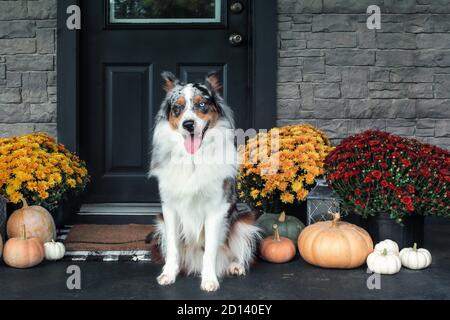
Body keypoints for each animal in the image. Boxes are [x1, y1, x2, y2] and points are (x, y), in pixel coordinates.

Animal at [149, 71, 260, 292]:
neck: (193, 158)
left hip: (244, 221)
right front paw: (168, 274)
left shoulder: (216, 208)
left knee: (238, 252)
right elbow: (173, 247)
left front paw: (209, 279)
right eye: (177, 108)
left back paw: (234, 266)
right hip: (160, 222)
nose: (188, 124)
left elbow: (210, 249)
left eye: (201, 104)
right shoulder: (169, 209)